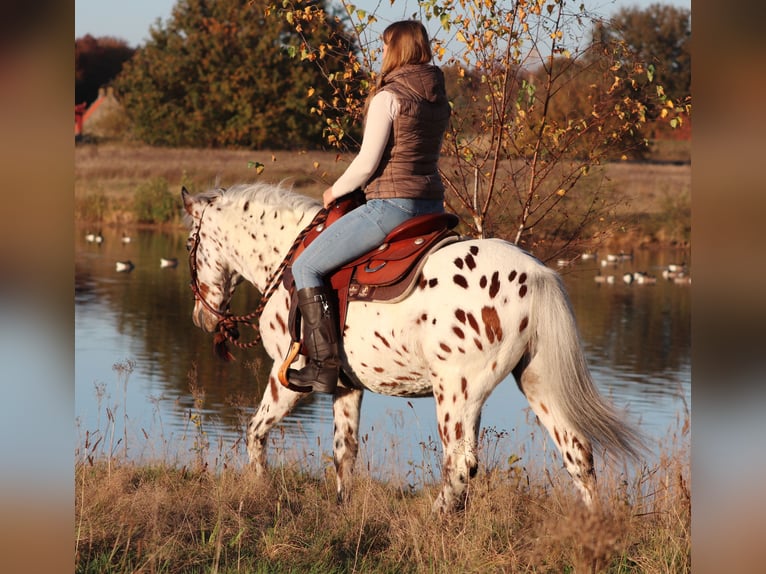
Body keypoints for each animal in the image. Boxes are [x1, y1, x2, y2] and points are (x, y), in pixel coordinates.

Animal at [183, 182, 644, 516]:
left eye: (191, 243)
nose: (201, 318)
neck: (288, 261)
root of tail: (536, 275)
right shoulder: (346, 386)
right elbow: (344, 451)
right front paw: (341, 508)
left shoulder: (287, 378)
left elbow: (255, 431)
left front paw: (258, 488)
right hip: (538, 381)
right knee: (577, 453)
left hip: (457, 393)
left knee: (460, 464)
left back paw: (434, 518)